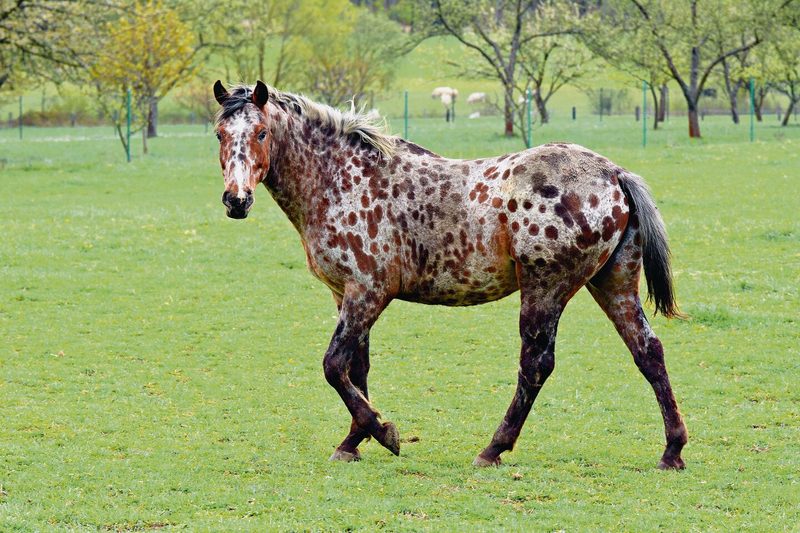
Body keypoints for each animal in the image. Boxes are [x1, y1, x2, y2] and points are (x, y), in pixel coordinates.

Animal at [211, 80, 688, 469]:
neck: (342, 180)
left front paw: (384, 433)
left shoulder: (368, 292)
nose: (236, 200)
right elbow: (356, 370)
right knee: (648, 352)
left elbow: (333, 366)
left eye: (261, 132)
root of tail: (614, 173)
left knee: (536, 364)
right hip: (612, 284)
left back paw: (493, 448)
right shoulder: (346, 294)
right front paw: (355, 441)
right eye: (219, 134)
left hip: (546, 289)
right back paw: (672, 450)